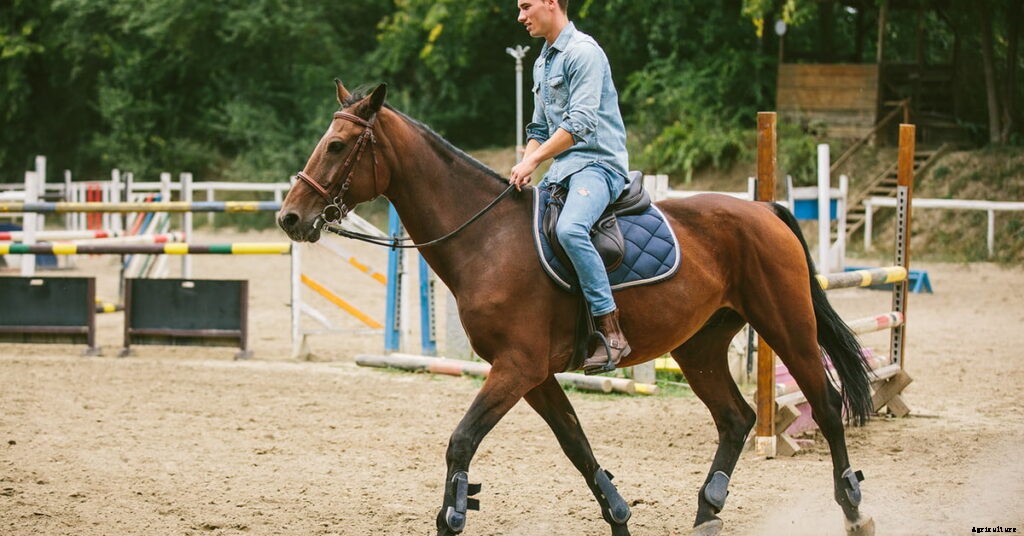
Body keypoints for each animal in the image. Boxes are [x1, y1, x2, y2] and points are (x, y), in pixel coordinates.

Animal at [277, 80, 877, 536]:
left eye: (336, 146)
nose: (289, 217)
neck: (487, 238)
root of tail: (765, 210)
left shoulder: (516, 368)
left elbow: (461, 442)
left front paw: (453, 514)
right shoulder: (534, 374)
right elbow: (576, 445)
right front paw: (618, 514)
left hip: (786, 323)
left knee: (826, 406)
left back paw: (853, 511)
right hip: (700, 346)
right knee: (736, 418)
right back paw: (708, 511)